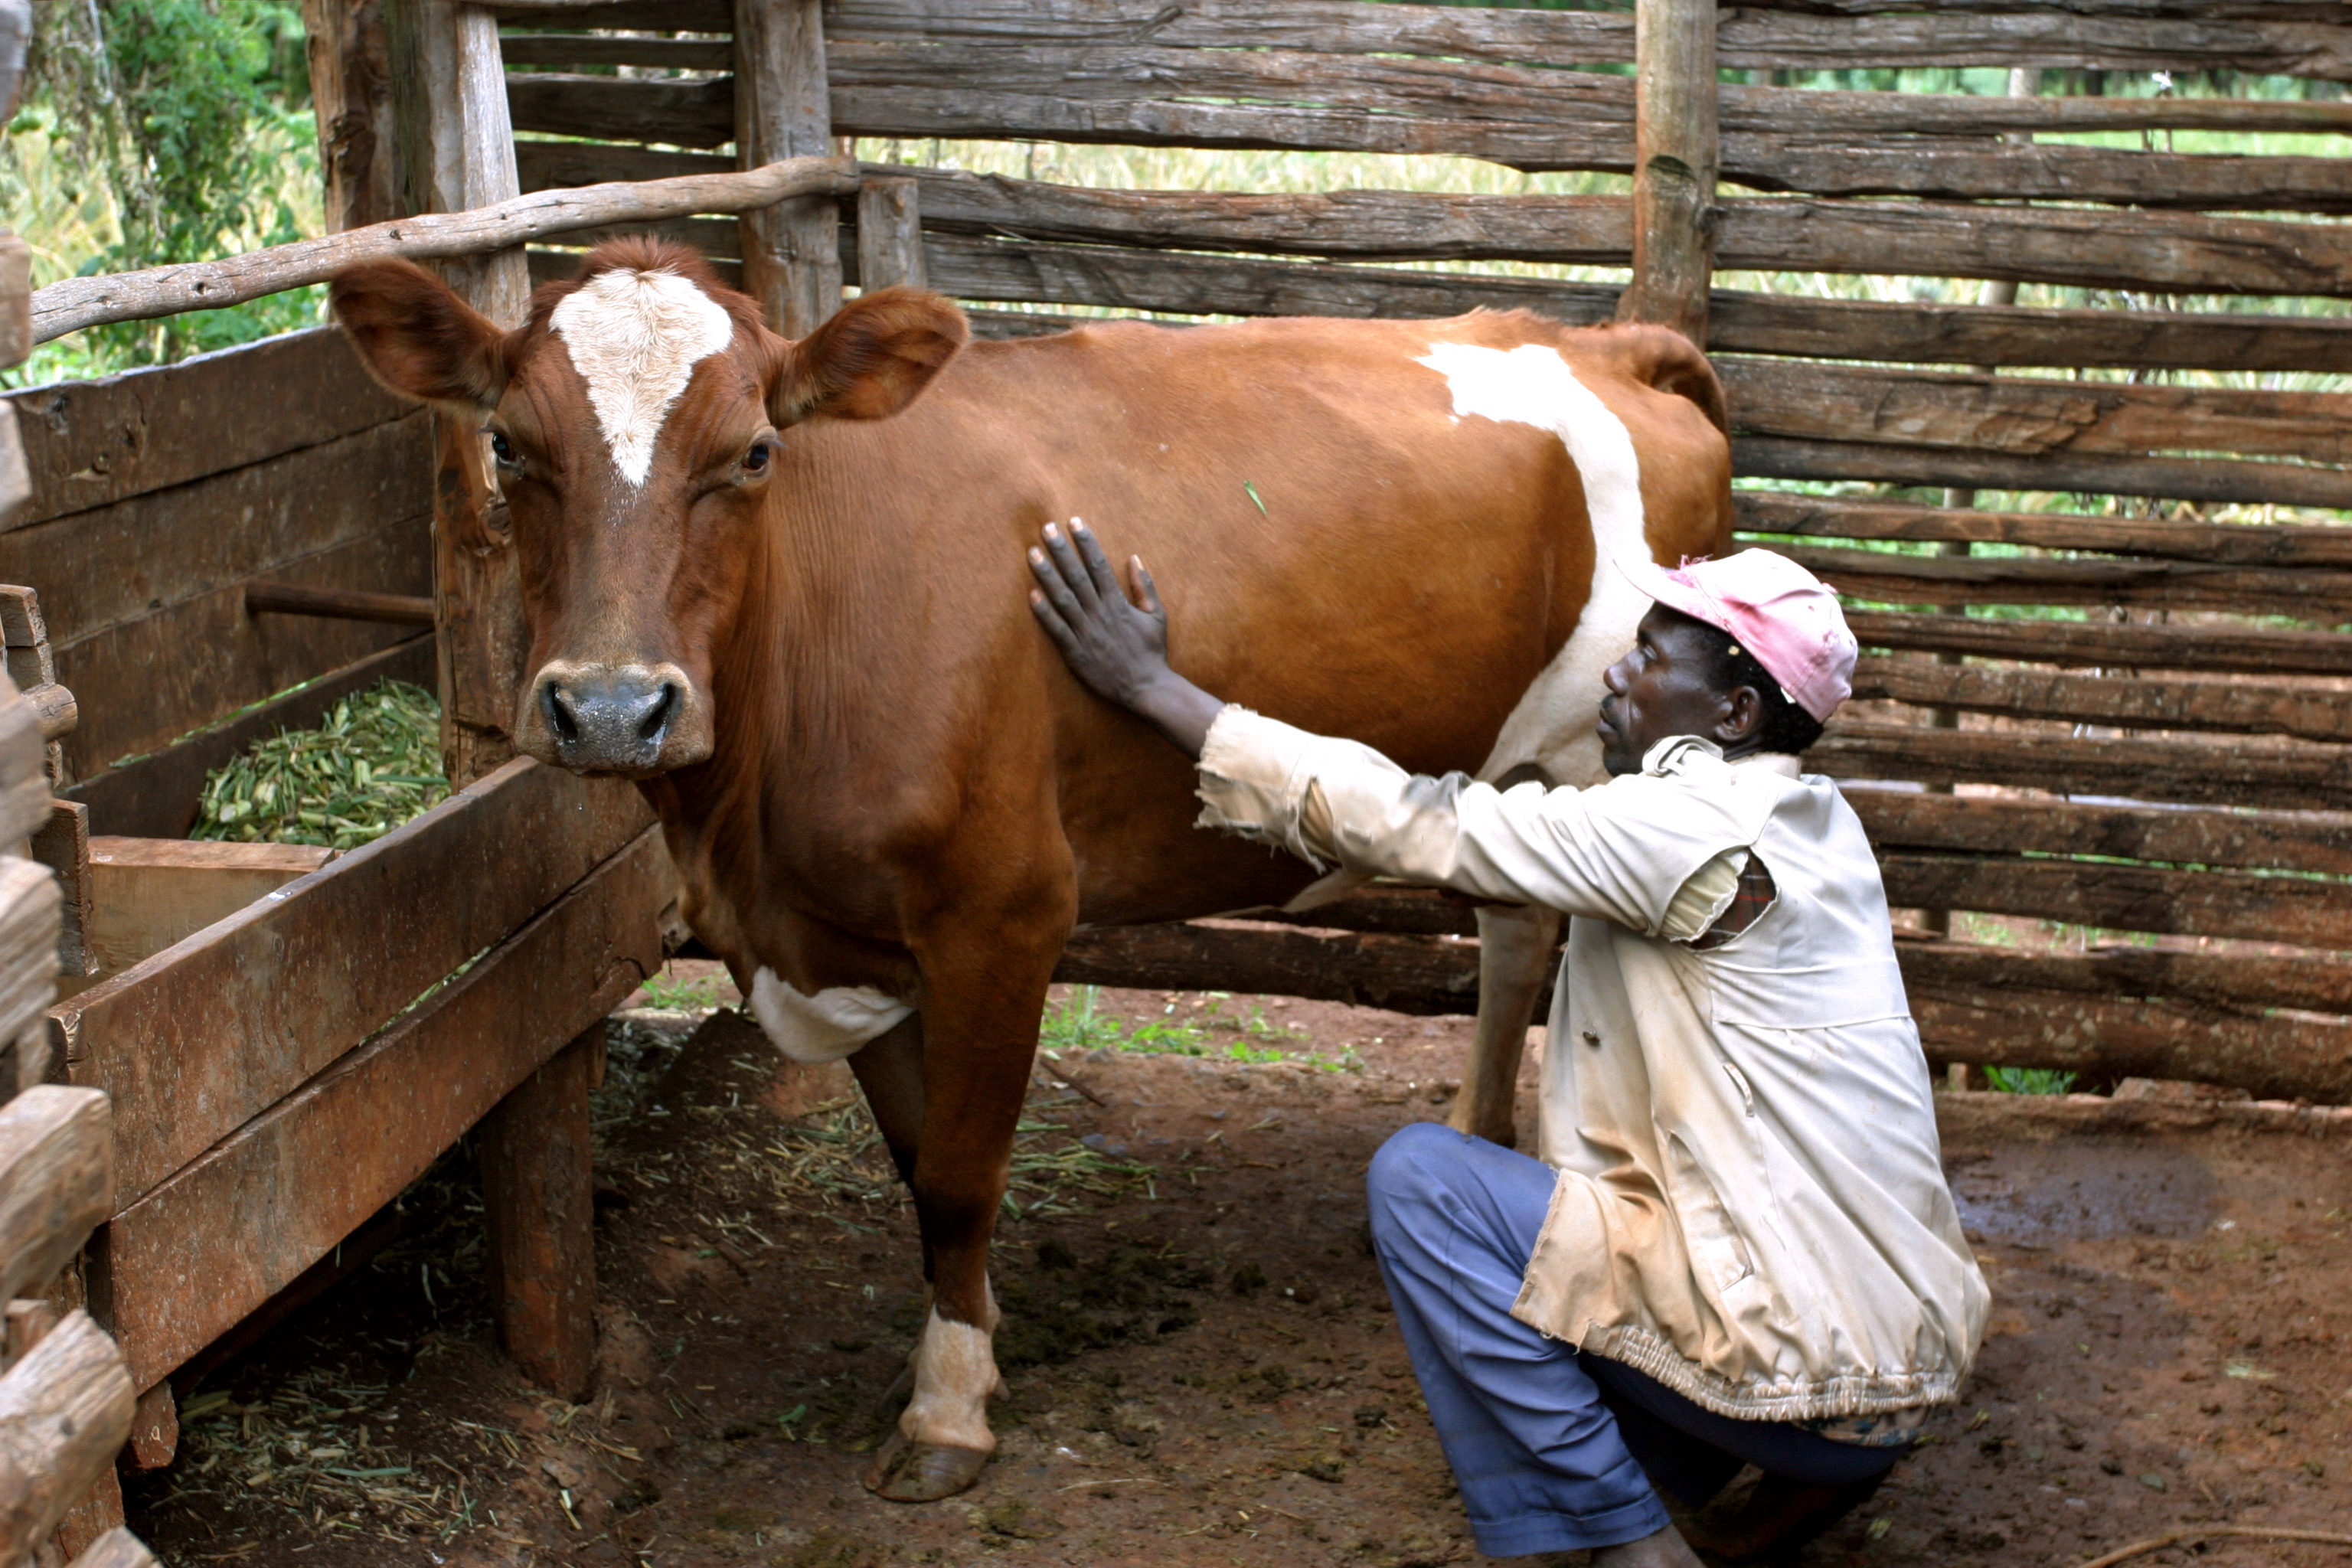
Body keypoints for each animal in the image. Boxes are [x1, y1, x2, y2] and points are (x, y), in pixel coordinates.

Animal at [328, 238, 1734, 1502]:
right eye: (510, 446)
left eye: (755, 452)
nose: (614, 709)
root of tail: (1604, 342)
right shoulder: (839, 938)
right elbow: (917, 1164)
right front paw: (976, 1336)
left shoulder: (1002, 913)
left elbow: (960, 1173)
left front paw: (949, 1408)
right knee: (1514, 931)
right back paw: (1474, 1132)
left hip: (1598, 762)